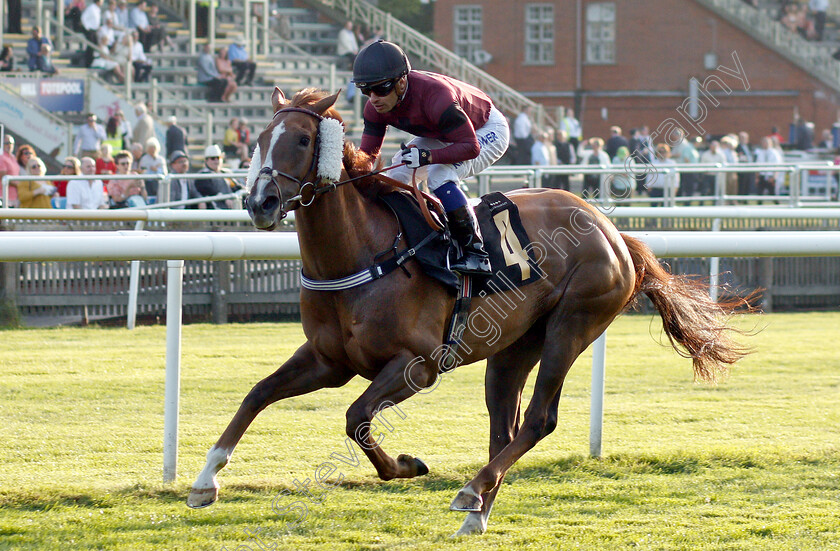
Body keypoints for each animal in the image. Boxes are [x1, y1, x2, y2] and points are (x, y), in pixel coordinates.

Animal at [189, 88, 748, 536]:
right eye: (261, 138)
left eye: (303, 141)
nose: (259, 202)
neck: (360, 252)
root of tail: (611, 231)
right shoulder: (329, 361)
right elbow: (258, 394)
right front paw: (204, 479)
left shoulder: (418, 365)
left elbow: (357, 418)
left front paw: (407, 466)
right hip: (513, 347)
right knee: (505, 428)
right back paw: (476, 513)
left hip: (572, 324)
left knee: (539, 419)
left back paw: (470, 491)